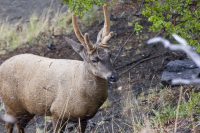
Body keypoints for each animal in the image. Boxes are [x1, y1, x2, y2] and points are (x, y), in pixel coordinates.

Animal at [0, 4, 119, 132]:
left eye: (110, 54)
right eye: (94, 59)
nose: (113, 76)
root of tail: (2, 65)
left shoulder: (83, 118)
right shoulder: (57, 111)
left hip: (27, 108)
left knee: (20, 124)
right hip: (10, 104)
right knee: (9, 125)